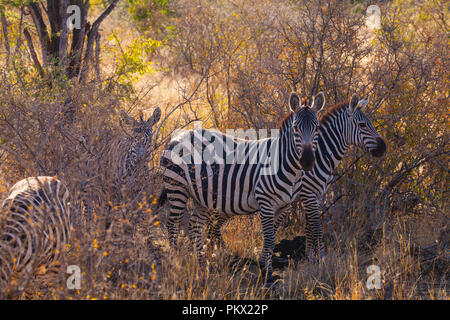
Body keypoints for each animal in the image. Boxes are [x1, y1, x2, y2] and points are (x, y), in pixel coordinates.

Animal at [158, 91, 324, 284]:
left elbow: (272, 238)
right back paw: (177, 259)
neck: (287, 166)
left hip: (200, 196)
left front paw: (266, 269)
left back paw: (202, 265)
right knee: (172, 224)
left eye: (317, 128)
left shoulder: (284, 206)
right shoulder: (266, 202)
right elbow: (269, 238)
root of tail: (177, 137)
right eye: (296, 128)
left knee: (194, 227)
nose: (307, 162)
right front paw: (266, 272)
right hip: (177, 187)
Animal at [207, 92, 386, 260]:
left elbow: (309, 228)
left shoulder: (316, 196)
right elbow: (316, 228)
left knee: (213, 226)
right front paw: (320, 259)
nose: (383, 148)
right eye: (362, 125)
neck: (320, 155)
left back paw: (219, 253)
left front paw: (310, 256)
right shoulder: (308, 194)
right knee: (212, 225)